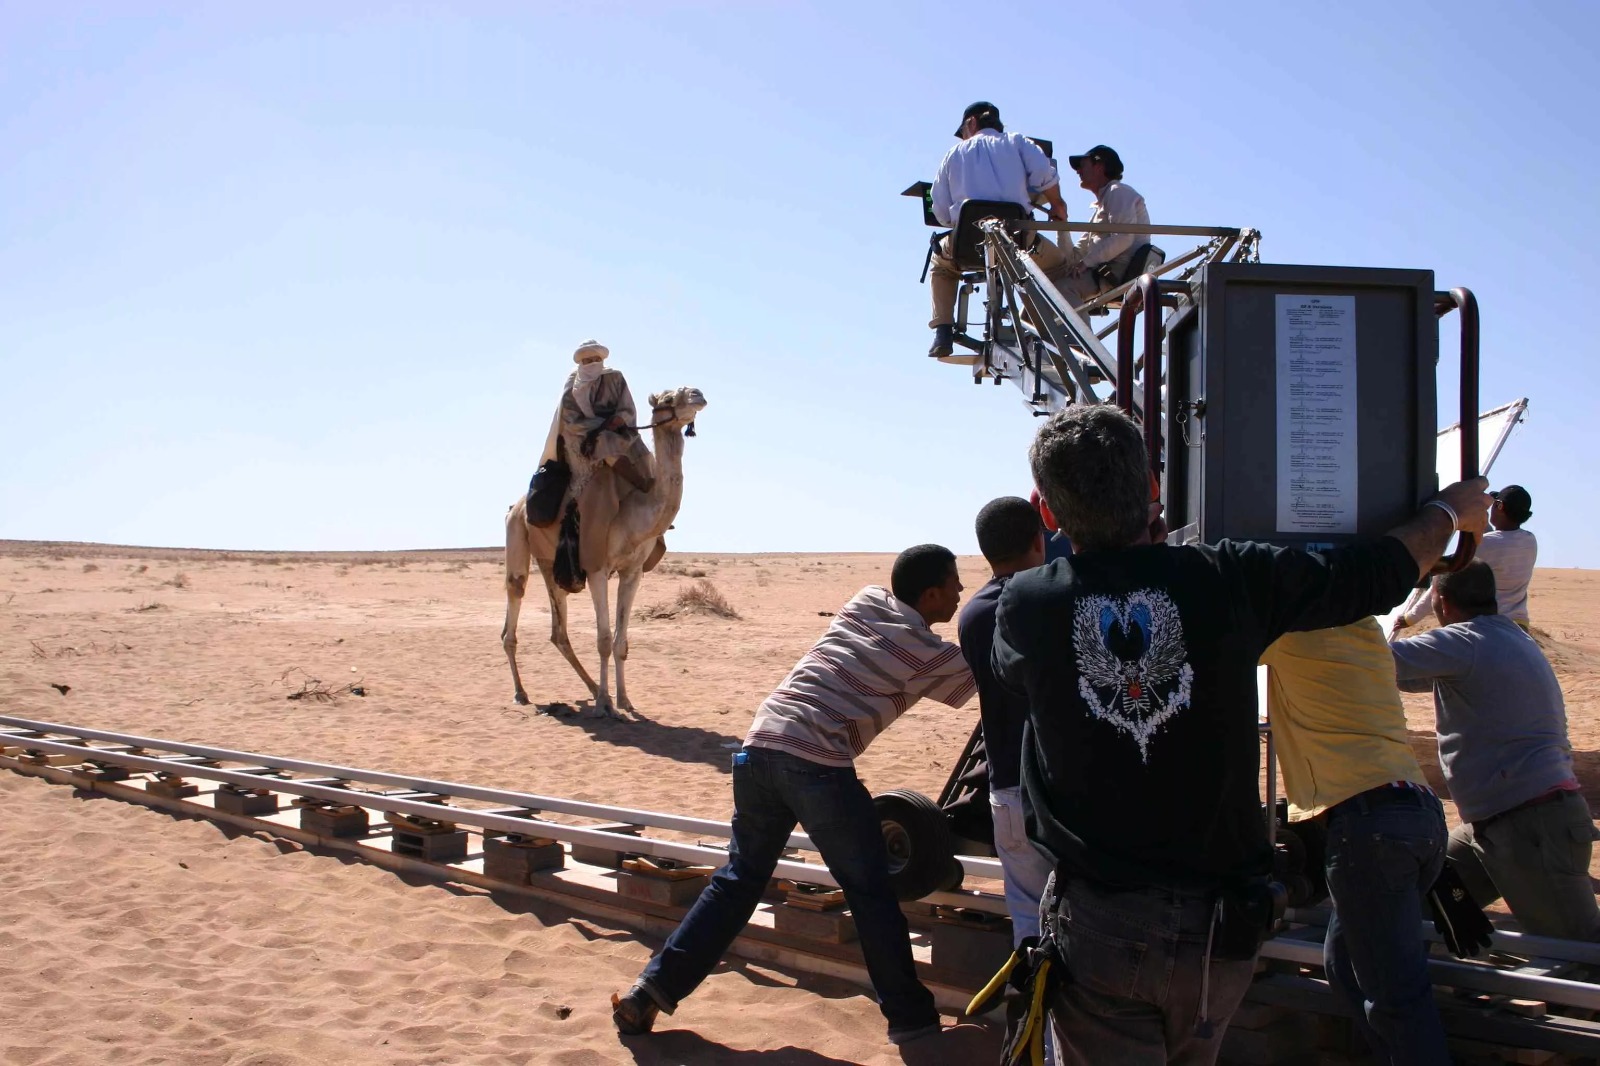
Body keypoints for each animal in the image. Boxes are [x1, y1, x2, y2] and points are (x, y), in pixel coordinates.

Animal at [499, 382, 700, 713]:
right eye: (669, 398)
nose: (698, 394)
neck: (634, 512)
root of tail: (514, 507)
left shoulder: (633, 571)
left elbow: (620, 643)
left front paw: (625, 700)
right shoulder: (596, 568)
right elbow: (604, 640)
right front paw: (607, 704)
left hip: (550, 563)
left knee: (558, 633)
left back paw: (592, 688)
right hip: (517, 536)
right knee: (514, 602)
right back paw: (521, 692)